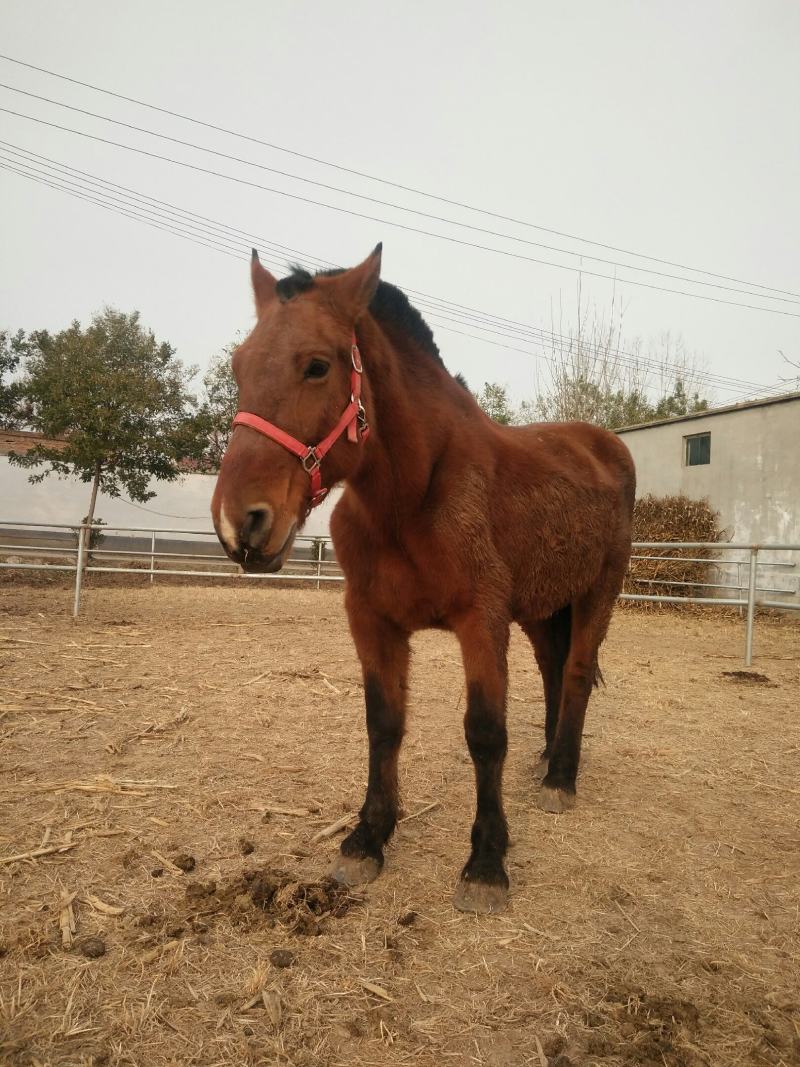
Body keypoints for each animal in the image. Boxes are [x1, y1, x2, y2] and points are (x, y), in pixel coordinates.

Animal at [211, 245, 636, 914]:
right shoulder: (372, 621)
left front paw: (486, 862)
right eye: (239, 367)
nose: (241, 523)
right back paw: (547, 758)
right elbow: (383, 724)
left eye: (316, 366)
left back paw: (562, 778)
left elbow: (485, 733)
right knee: (553, 670)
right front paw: (368, 837)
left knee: (575, 672)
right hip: (544, 607)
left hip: (599, 592)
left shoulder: (482, 623)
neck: (412, 497)